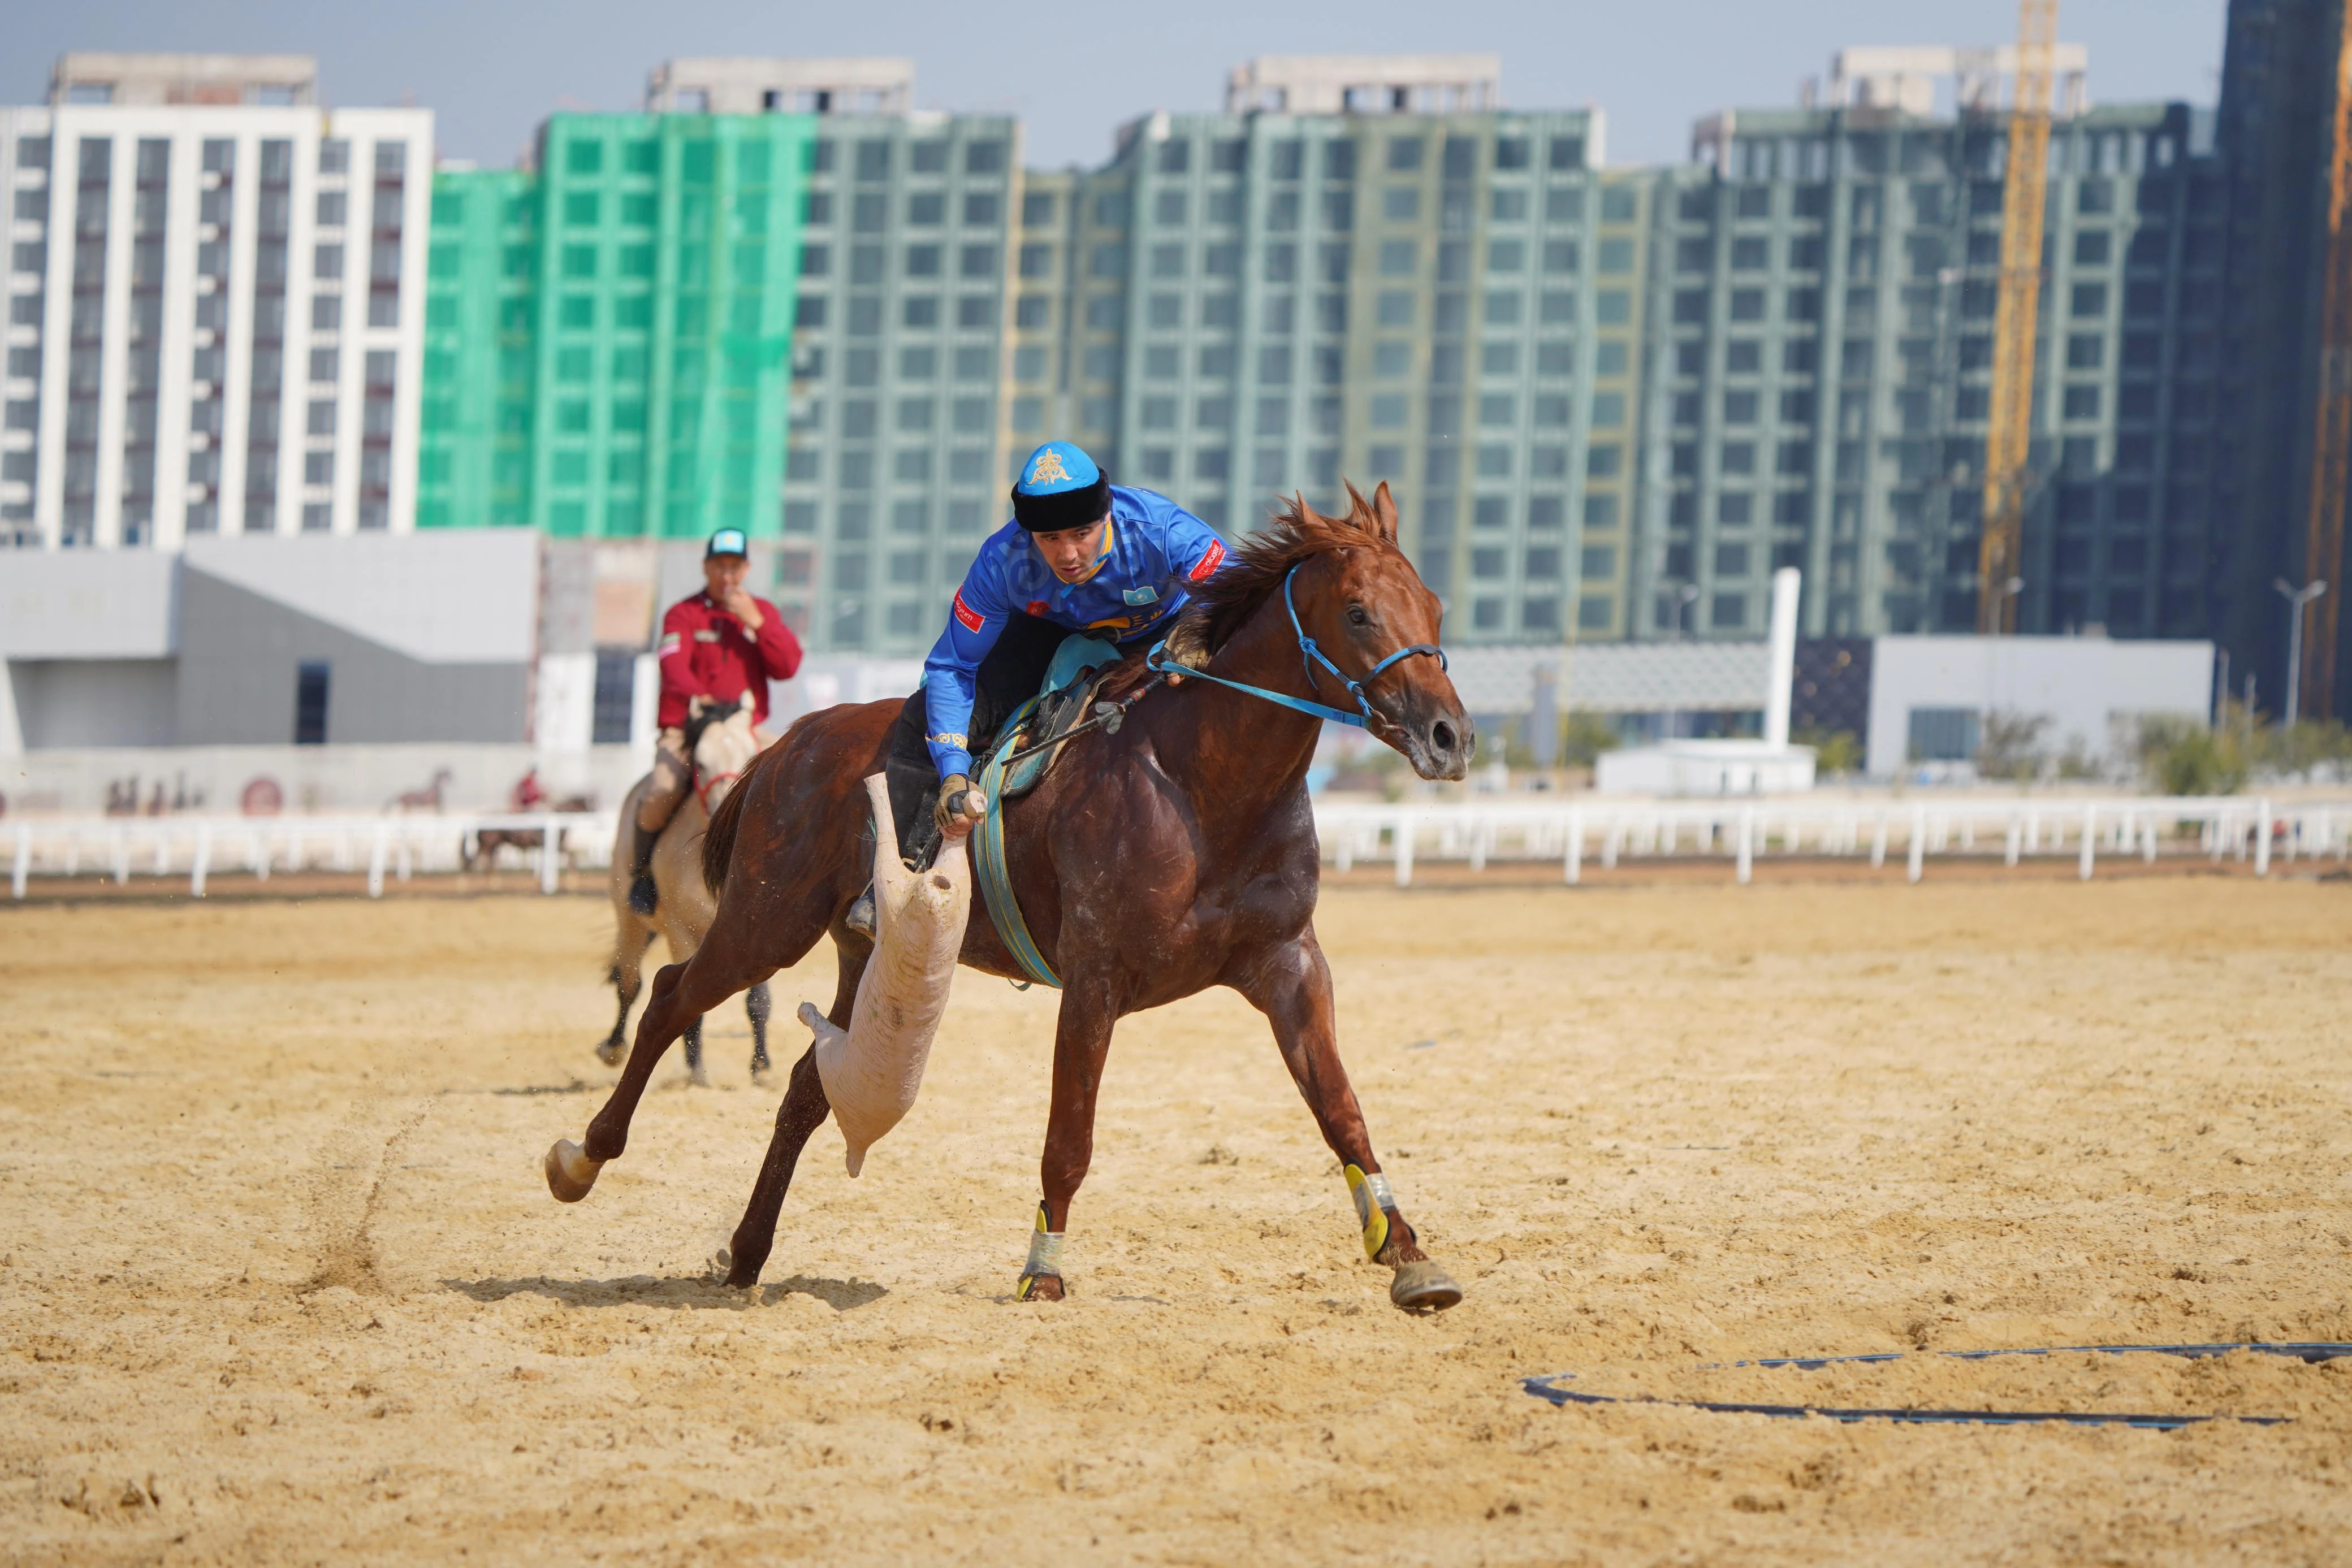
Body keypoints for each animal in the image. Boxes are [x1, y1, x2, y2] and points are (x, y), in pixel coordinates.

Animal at [597, 700, 771, 1090]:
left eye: (750, 754)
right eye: (701, 763)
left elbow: (759, 1002)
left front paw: (762, 1068)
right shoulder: (682, 932)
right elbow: (687, 1004)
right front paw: (697, 1075)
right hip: (630, 920)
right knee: (628, 982)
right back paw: (613, 1047)